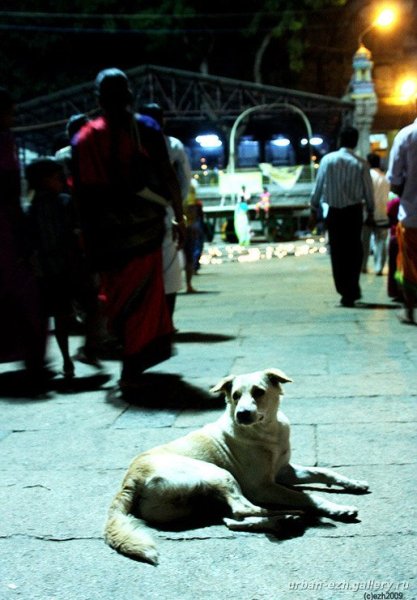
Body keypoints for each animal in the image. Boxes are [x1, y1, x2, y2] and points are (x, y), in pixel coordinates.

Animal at [104, 368, 368, 564]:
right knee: (243, 509)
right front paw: (337, 508)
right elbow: (308, 496)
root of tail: (129, 480)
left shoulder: (284, 471)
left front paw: (353, 483)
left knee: (232, 518)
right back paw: (289, 515)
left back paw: (284, 520)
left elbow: (324, 472)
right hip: (219, 474)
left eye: (259, 392)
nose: (242, 414)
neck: (267, 431)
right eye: (235, 396)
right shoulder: (263, 486)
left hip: (200, 501)